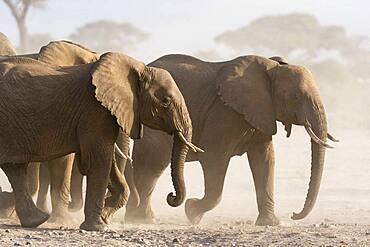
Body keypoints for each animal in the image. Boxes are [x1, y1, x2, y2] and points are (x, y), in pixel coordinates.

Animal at [0, 50, 201, 232]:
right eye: (165, 101)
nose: (171, 196)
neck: (138, 68)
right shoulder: (95, 111)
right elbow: (99, 161)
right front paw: (97, 227)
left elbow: (108, 162)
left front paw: (105, 217)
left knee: (14, 169)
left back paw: (36, 220)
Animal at [125, 53, 338, 226]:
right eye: (295, 96)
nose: (294, 214)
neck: (272, 68)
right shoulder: (224, 113)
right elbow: (214, 160)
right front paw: (191, 211)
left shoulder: (261, 112)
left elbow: (264, 159)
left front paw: (270, 223)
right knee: (152, 166)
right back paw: (142, 220)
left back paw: (139, 218)